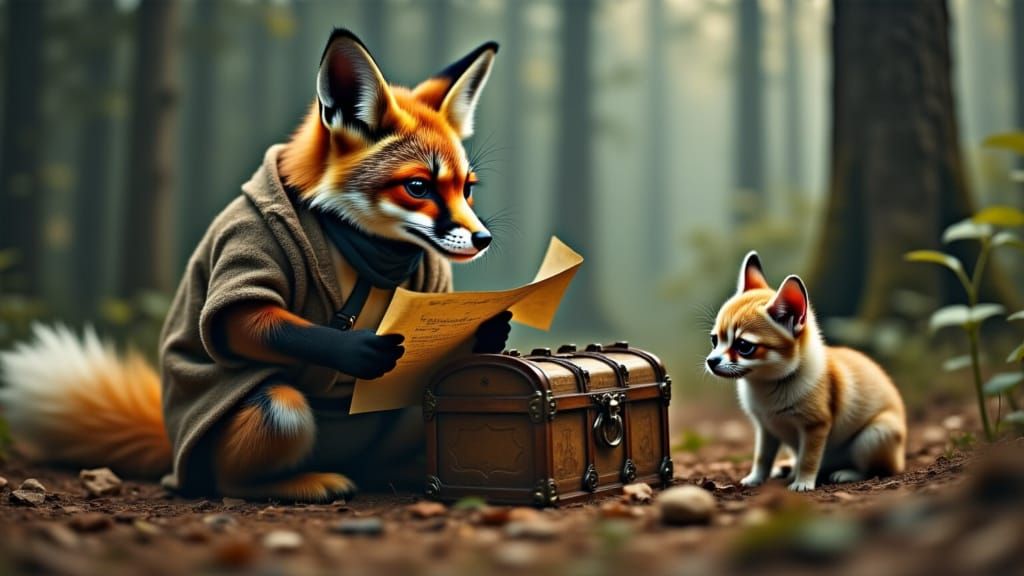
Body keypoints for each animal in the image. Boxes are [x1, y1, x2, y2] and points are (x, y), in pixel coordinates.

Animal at [0, 30, 512, 502]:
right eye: (419, 187)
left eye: (466, 189)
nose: (483, 239)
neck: (359, 251)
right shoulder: (246, 247)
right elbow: (247, 322)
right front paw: (359, 349)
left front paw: (492, 331)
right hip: (276, 411)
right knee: (235, 474)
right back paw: (305, 482)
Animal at [705, 252, 906, 491]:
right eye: (714, 340)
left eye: (744, 346)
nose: (711, 361)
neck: (769, 385)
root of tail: (900, 456)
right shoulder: (766, 428)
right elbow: (762, 457)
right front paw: (755, 479)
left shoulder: (815, 426)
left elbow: (808, 458)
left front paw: (803, 483)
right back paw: (788, 467)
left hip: (873, 437)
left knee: (881, 469)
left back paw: (846, 473)